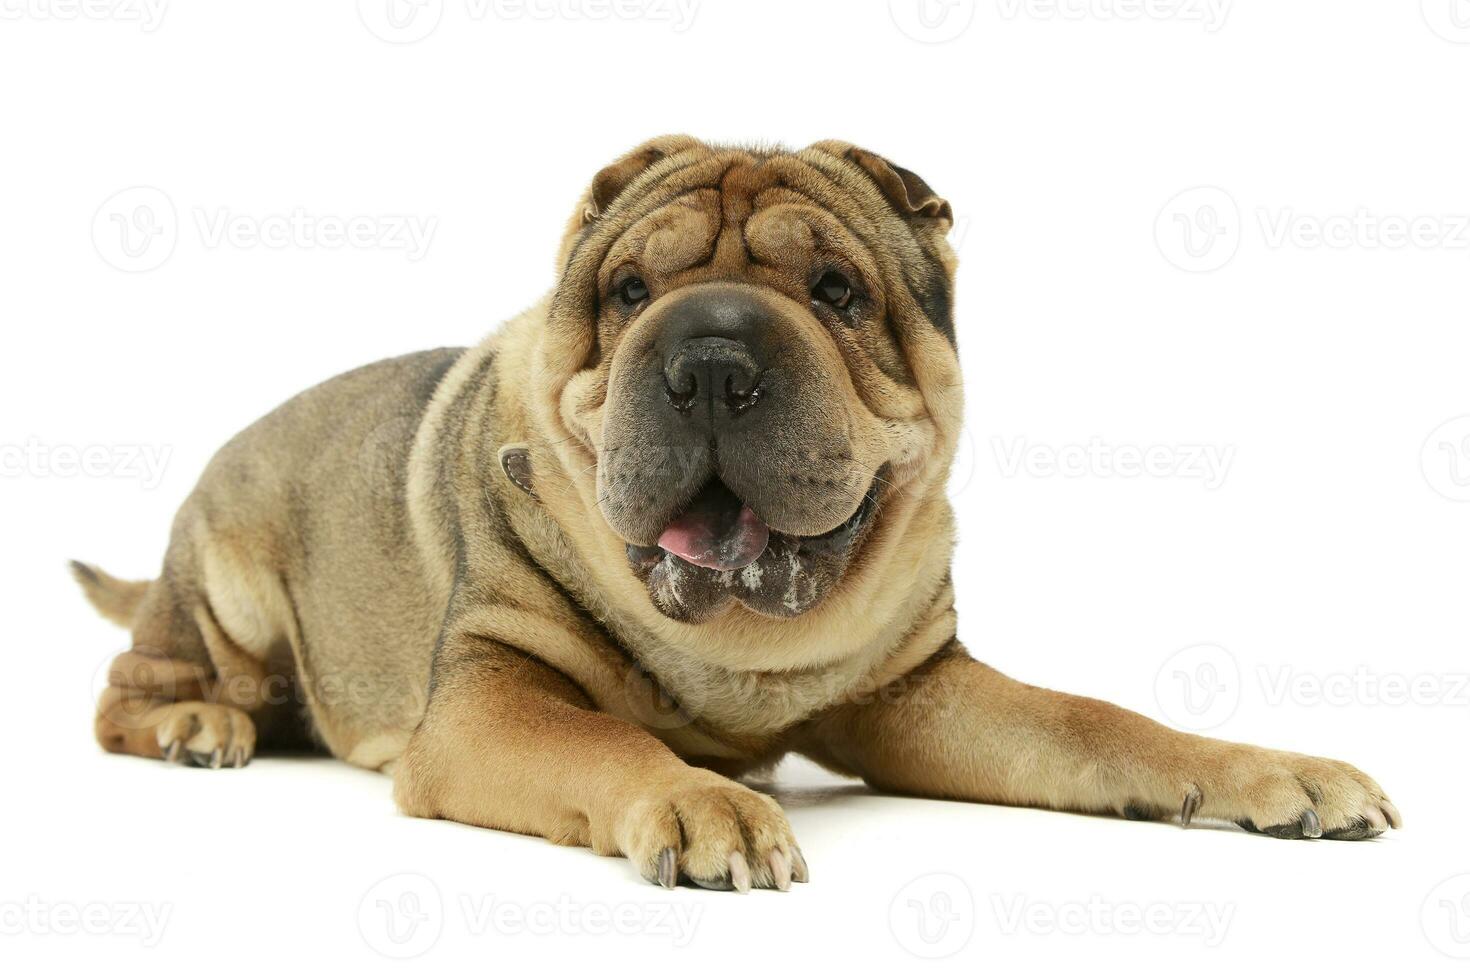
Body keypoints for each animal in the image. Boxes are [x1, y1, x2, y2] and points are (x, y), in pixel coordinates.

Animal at [77, 138, 1399, 899]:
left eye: (838, 291)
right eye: (626, 291)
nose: (710, 359)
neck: (733, 650)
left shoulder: (915, 691)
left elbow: (1096, 722)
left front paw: (1275, 772)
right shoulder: (487, 703)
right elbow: (606, 741)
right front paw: (701, 800)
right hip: (229, 595)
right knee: (132, 683)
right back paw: (197, 722)